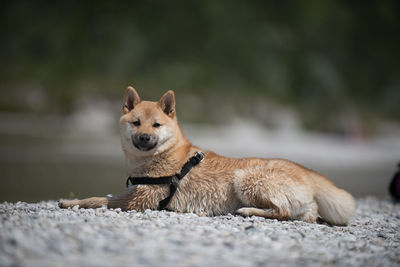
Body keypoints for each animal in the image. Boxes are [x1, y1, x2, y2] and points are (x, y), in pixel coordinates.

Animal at [58, 87, 354, 226]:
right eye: (136, 122)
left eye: (156, 125)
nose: (144, 138)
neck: (164, 157)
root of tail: (305, 171)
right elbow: (103, 196)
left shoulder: (139, 199)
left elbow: (98, 199)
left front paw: (71, 202)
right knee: (302, 214)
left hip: (247, 179)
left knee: (281, 211)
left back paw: (247, 210)